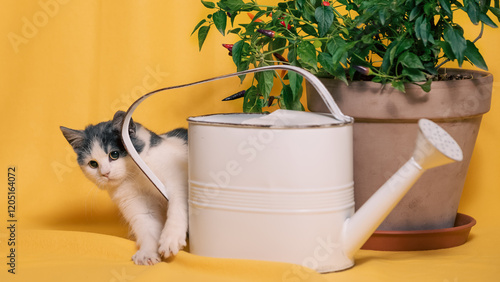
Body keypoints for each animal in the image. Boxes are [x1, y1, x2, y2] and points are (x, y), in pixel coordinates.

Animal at [60, 111, 188, 266]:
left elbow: (177, 205)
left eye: (114, 154)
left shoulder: (177, 177)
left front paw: (170, 239)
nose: (105, 173)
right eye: (93, 164)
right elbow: (147, 225)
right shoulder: (134, 201)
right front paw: (147, 253)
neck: (136, 174)